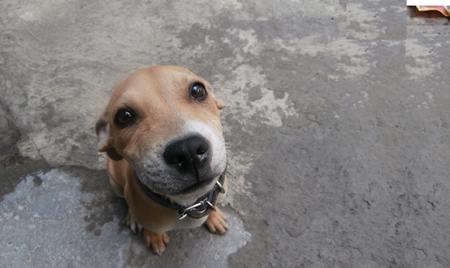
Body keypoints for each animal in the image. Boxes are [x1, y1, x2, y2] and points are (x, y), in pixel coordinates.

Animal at [95, 66, 229, 254]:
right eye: (124, 116)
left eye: (198, 90)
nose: (187, 151)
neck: (189, 204)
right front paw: (154, 236)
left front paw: (214, 216)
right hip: (116, 183)